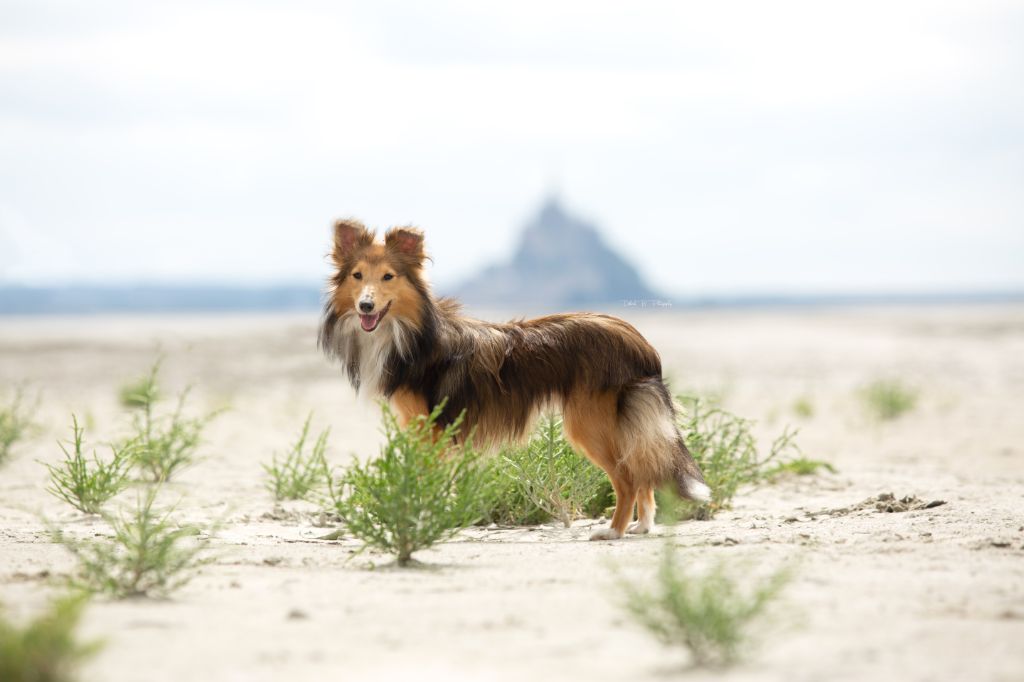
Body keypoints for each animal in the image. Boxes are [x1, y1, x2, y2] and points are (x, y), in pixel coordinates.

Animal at [319, 220, 712, 540]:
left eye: (388, 277)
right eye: (357, 276)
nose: (366, 306)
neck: (411, 333)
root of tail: (638, 341)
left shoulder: (431, 431)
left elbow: (426, 481)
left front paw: (423, 520)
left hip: (588, 424)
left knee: (627, 478)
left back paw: (612, 531)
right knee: (641, 469)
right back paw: (642, 526)